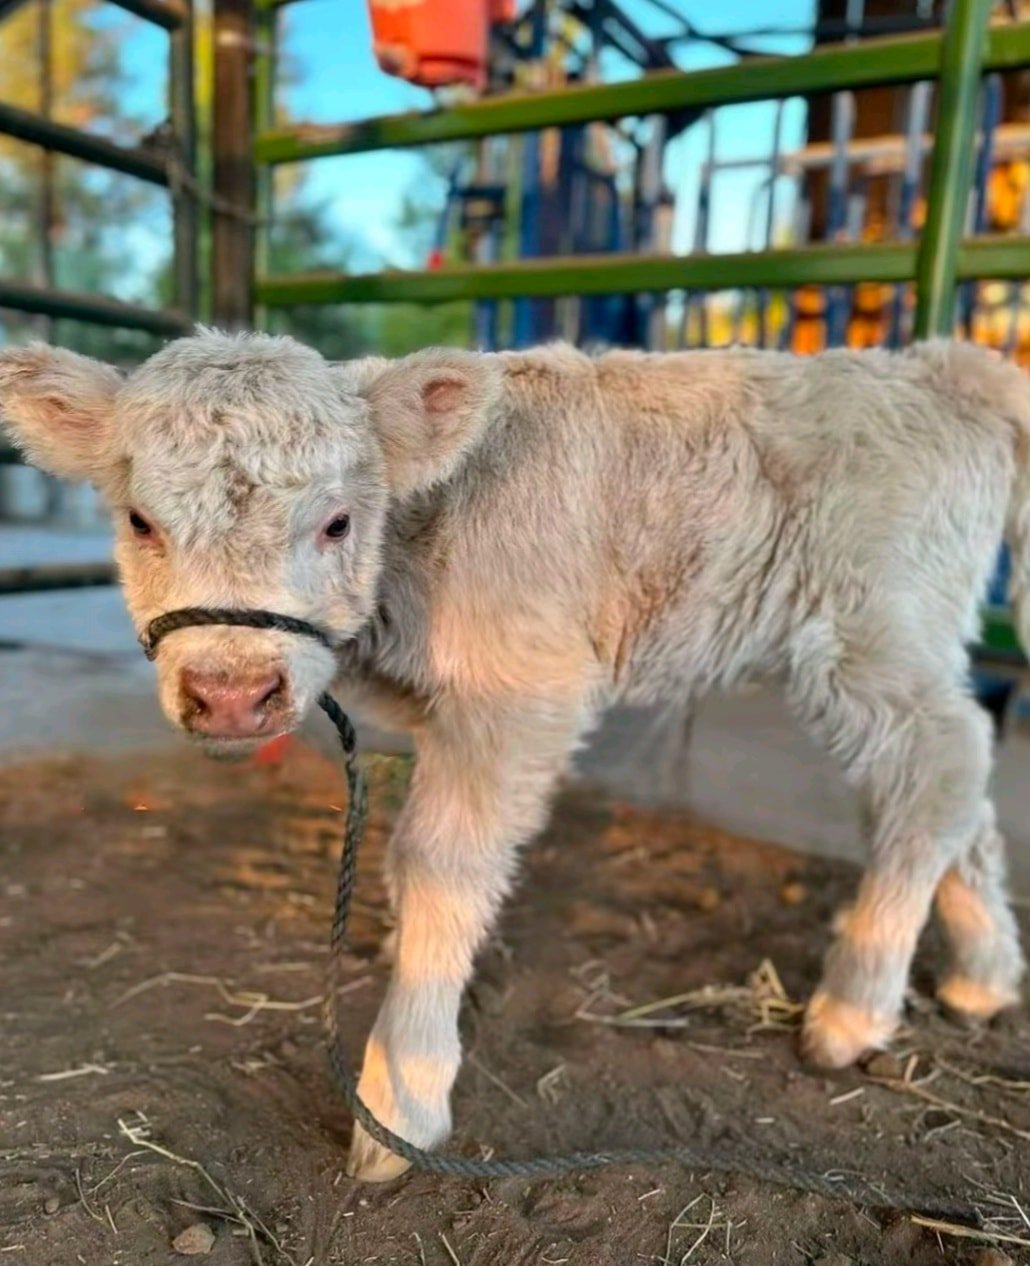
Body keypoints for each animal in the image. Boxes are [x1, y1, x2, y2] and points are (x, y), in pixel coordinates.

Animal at [2, 330, 1028, 1181]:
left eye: (337, 523)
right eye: (139, 521)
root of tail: (944, 369)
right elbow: (412, 863)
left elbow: (441, 859)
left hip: (873, 631)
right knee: (955, 792)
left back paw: (853, 1010)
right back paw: (982, 977)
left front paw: (400, 1094)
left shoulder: (522, 690)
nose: (229, 690)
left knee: (943, 768)